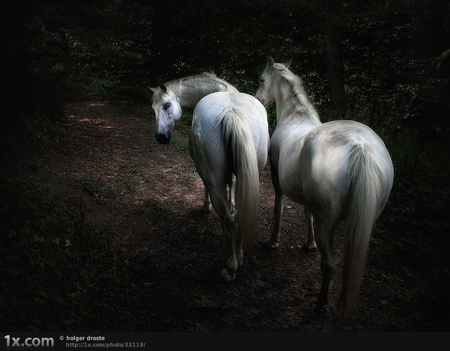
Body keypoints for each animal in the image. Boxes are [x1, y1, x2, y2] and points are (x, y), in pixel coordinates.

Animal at [188, 92, 268, 282]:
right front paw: (231, 203)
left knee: (228, 220)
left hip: (214, 179)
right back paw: (239, 257)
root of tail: (232, 112)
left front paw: (206, 206)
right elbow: (232, 182)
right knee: (242, 214)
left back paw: (230, 268)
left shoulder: (207, 175)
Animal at [256, 57, 394, 316]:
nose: (258, 98)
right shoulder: (308, 198)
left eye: (261, 79)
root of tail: (360, 146)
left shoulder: (277, 178)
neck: (294, 117)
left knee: (328, 266)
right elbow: (306, 213)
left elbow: (278, 209)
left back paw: (321, 302)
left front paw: (272, 242)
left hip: (327, 223)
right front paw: (308, 244)